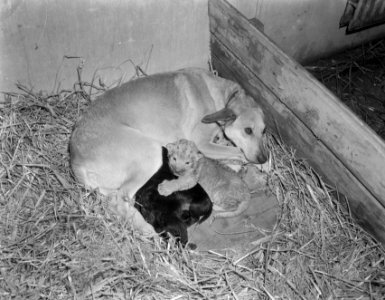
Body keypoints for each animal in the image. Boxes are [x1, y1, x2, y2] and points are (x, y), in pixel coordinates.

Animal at [69, 68, 268, 234]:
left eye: (264, 131)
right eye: (248, 130)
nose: (263, 158)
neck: (222, 95)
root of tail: (75, 160)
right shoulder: (203, 144)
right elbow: (239, 152)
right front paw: (258, 166)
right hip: (150, 153)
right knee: (121, 197)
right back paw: (147, 229)